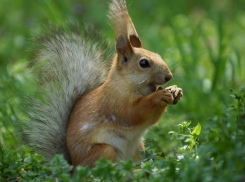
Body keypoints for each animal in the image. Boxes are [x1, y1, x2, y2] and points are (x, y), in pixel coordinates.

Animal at [23, 0, 183, 171]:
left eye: (158, 55)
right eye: (144, 63)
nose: (169, 76)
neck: (131, 86)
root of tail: (73, 168)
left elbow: (151, 120)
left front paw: (175, 90)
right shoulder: (115, 103)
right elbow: (133, 113)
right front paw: (160, 95)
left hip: (138, 151)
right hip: (104, 152)